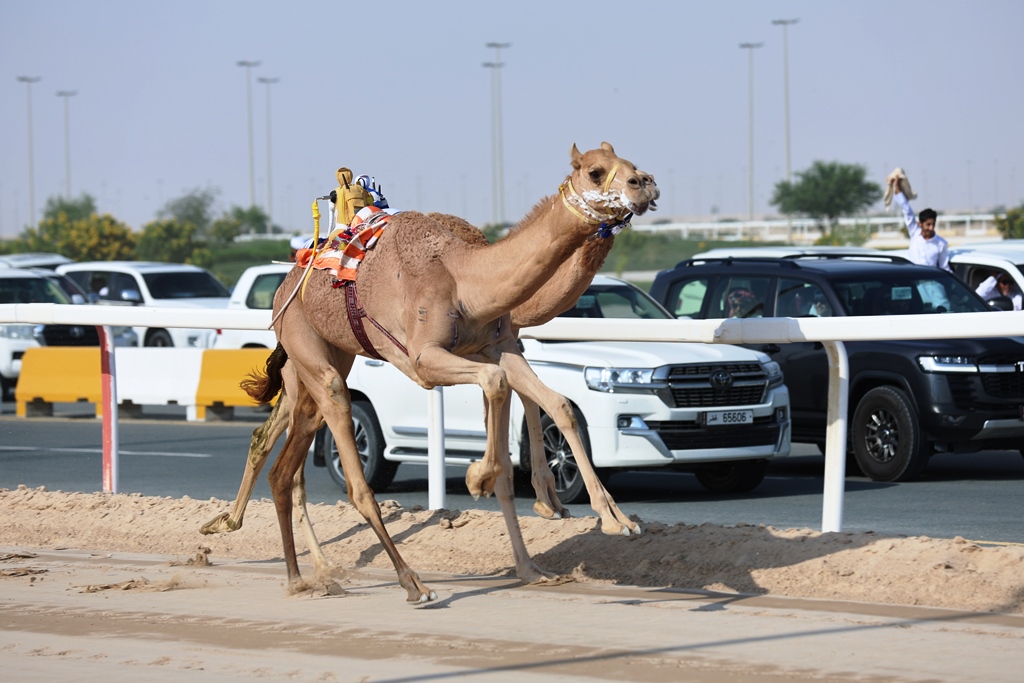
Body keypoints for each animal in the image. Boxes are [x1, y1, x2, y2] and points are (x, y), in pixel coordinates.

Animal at [205, 141, 655, 602]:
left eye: (632, 165)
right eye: (596, 171)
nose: (645, 184)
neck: (465, 277)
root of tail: (286, 284)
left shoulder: (499, 346)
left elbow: (557, 404)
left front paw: (613, 521)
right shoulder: (423, 360)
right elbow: (497, 389)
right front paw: (480, 477)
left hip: (326, 358)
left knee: (284, 463)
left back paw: (301, 575)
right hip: (305, 344)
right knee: (345, 468)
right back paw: (406, 582)